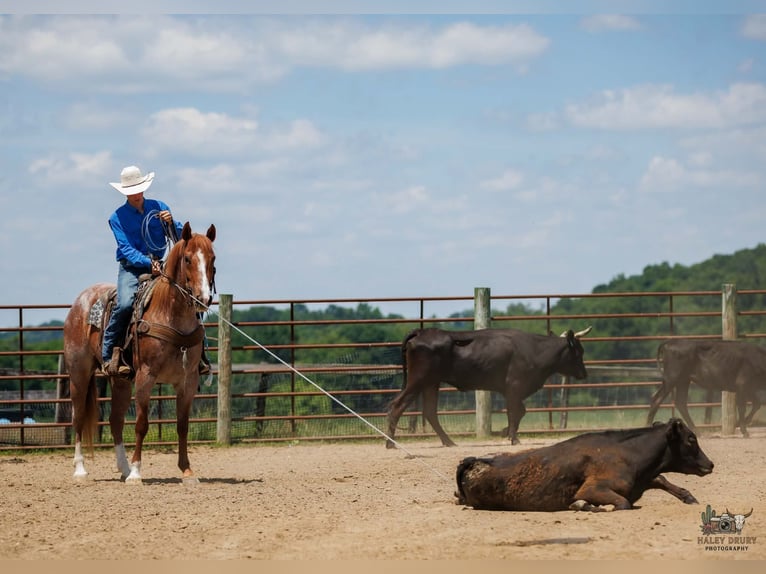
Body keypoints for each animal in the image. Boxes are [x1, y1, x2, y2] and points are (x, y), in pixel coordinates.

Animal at [63, 222, 216, 485]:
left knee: (115, 420)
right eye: (187, 258)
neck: (169, 313)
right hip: (79, 373)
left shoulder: (187, 381)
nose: (203, 298)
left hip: (121, 379)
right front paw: (136, 473)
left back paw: (122, 468)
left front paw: (187, 471)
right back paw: (81, 469)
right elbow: (142, 424)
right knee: (79, 416)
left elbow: (182, 425)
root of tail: (80, 301)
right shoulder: (146, 376)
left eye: (212, 258)